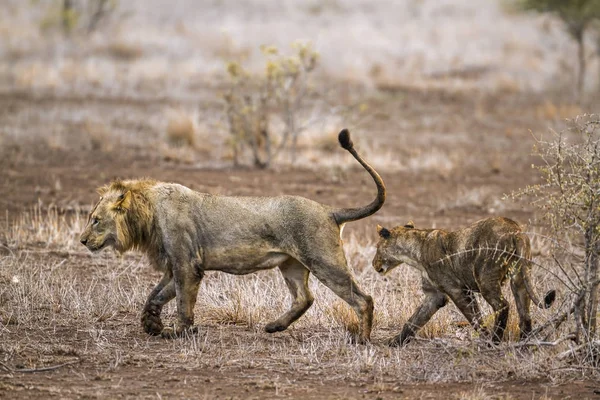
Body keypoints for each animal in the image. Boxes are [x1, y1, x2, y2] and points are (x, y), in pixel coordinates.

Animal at [79, 130, 384, 342]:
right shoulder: (175, 265)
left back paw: (362, 339)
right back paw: (274, 326)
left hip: (325, 262)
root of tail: (330, 210)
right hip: (292, 265)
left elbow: (182, 302)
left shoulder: (187, 265)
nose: (82, 241)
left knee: (362, 299)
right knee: (304, 298)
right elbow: (156, 295)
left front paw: (180, 332)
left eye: (95, 220)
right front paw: (151, 324)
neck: (149, 212)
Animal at [372, 217, 556, 346]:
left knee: (502, 305)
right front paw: (395, 342)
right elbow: (414, 320)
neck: (416, 250)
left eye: (377, 248)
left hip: (485, 278)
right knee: (525, 314)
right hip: (520, 276)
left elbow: (476, 320)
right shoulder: (435, 295)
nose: (374, 264)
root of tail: (515, 230)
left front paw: (485, 340)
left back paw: (494, 342)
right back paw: (525, 342)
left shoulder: (458, 290)